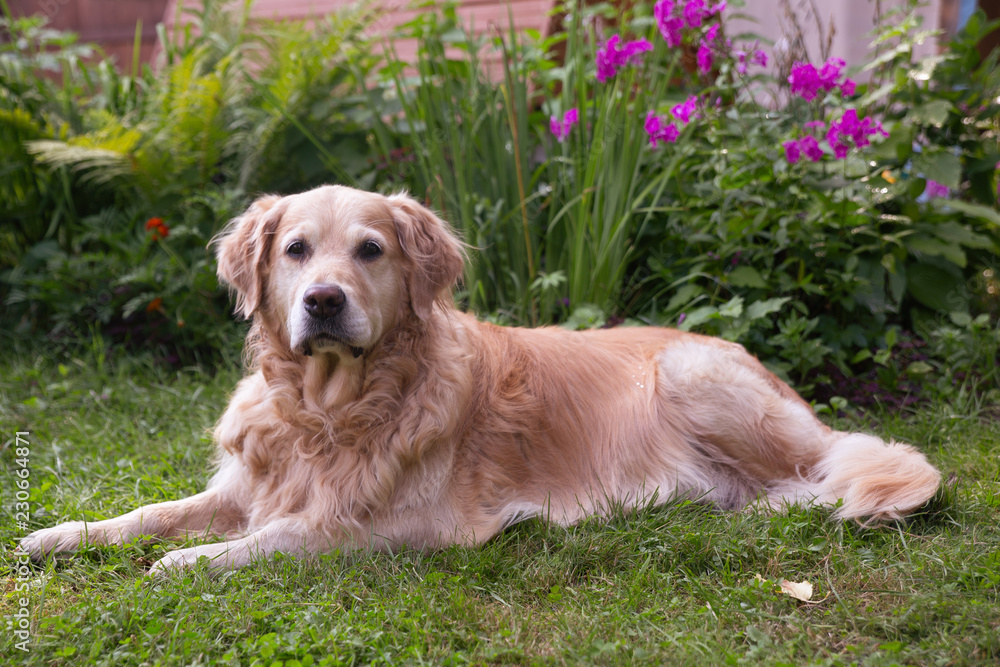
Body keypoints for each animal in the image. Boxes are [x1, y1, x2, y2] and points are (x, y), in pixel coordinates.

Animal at [23, 185, 940, 576]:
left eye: (371, 249)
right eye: (294, 250)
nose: (323, 301)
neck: (331, 407)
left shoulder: (407, 523)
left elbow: (280, 537)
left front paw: (193, 560)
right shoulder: (250, 481)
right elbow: (149, 512)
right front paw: (60, 534)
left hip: (694, 374)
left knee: (824, 470)